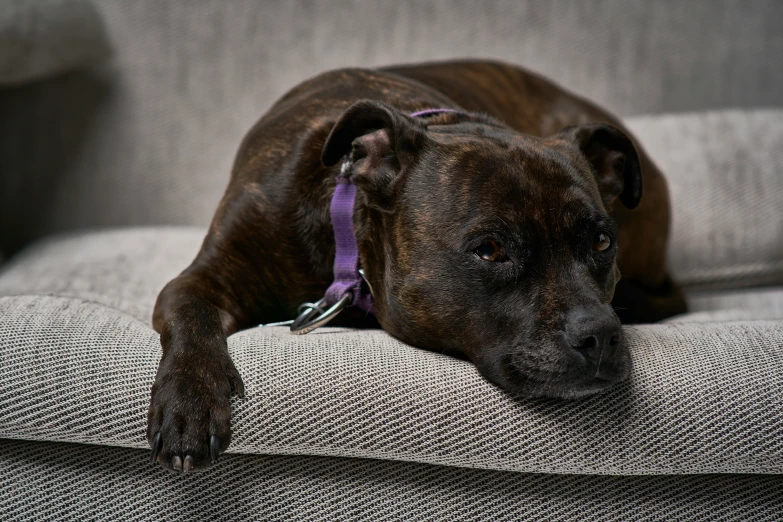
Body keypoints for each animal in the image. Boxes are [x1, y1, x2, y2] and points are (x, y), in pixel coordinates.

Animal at [145, 59, 688, 470]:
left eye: (601, 241)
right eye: (491, 250)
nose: (600, 335)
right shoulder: (205, 277)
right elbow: (191, 315)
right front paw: (190, 400)